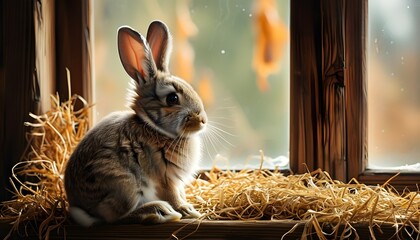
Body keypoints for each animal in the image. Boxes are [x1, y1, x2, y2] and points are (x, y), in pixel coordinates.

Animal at [64, 21, 207, 227]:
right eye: (172, 98)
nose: (203, 120)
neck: (155, 128)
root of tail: (80, 207)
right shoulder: (165, 179)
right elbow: (173, 196)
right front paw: (187, 210)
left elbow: (180, 193)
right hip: (126, 187)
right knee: (115, 217)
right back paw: (157, 212)